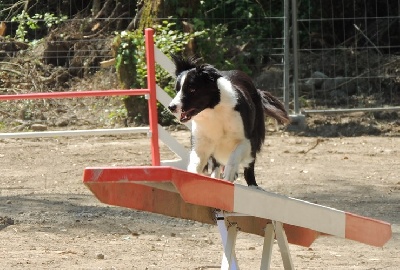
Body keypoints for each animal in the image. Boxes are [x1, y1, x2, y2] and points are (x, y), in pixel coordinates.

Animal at [167, 54, 290, 186]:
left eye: (192, 89)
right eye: (177, 89)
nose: (171, 107)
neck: (214, 111)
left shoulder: (247, 140)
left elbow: (235, 155)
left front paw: (230, 173)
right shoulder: (201, 143)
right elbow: (195, 164)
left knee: (248, 167)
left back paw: (253, 185)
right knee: (216, 164)